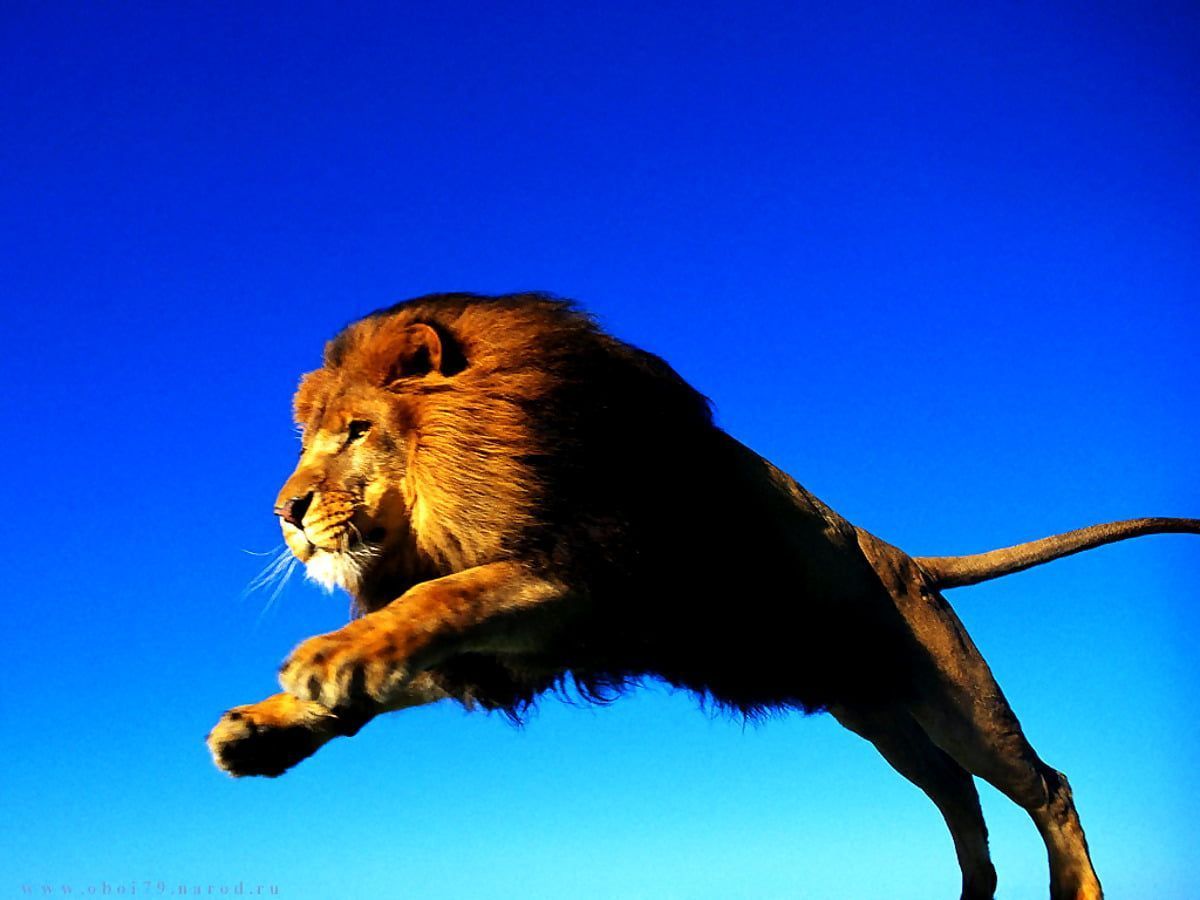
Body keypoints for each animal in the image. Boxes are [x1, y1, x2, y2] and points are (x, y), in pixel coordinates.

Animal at [207, 292, 1197, 900]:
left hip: (957, 699)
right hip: (880, 717)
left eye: (356, 430)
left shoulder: (582, 578)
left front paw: (328, 659)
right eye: (308, 439)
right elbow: (403, 656)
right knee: (958, 797)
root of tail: (906, 559)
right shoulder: (529, 642)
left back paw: (1077, 892)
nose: (287, 513)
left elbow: (443, 598)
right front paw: (265, 729)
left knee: (1046, 785)